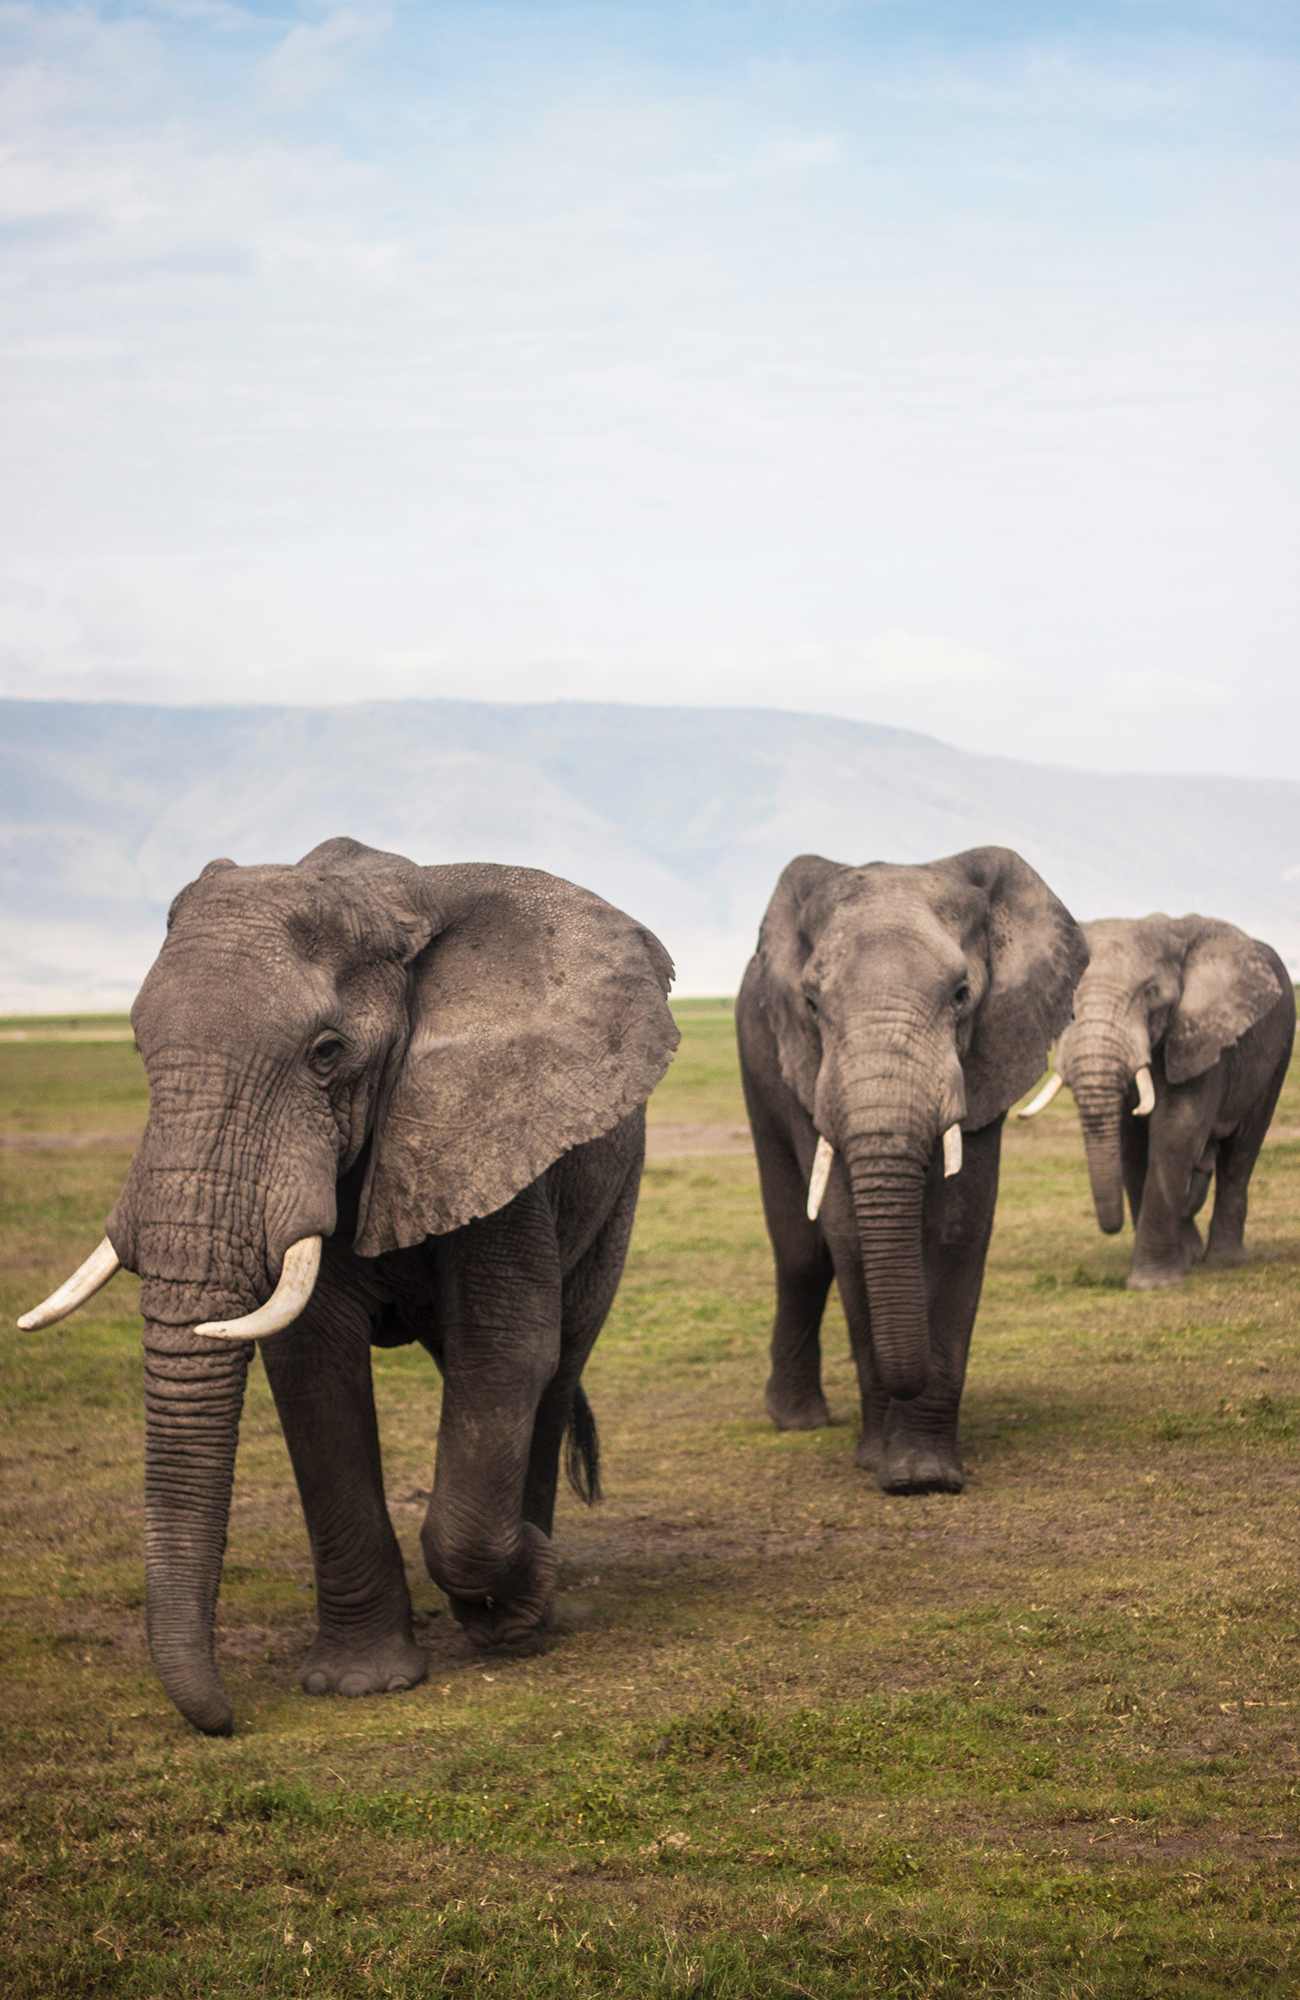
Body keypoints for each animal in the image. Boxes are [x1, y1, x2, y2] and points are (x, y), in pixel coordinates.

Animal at [19, 837, 678, 1736]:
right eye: (137, 1047)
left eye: (326, 1053)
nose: (226, 1718)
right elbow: (312, 1366)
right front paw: (359, 1684)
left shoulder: (494, 1123)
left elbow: (505, 1350)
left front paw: (518, 1594)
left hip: (617, 1188)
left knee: (557, 1362)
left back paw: (527, 1609)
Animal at [737, 846, 1088, 1494]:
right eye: (811, 1004)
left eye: (962, 994)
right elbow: (847, 1232)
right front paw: (882, 1464)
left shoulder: (988, 1054)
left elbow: (957, 1227)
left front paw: (924, 1475)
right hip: (757, 1060)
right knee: (801, 1253)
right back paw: (797, 1420)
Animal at [1019, 914, 1295, 1288]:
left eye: (1151, 994)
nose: (1112, 1226)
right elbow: (1132, 1144)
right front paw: (1174, 1267)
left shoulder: (1201, 1035)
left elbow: (1177, 1129)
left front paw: (1152, 1283)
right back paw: (1192, 1253)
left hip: (1279, 1053)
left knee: (1242, 1151)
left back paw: (1225, 1260)